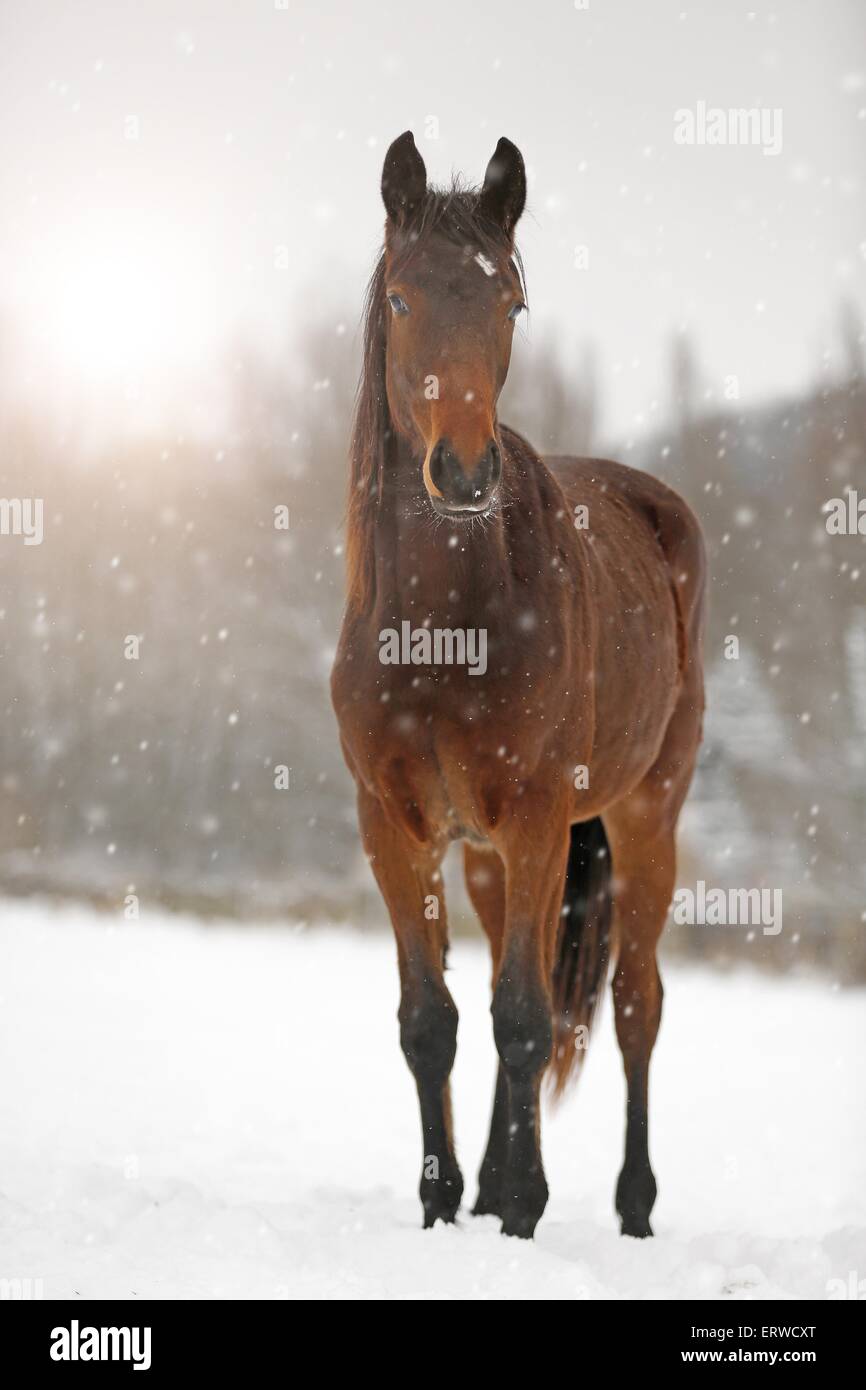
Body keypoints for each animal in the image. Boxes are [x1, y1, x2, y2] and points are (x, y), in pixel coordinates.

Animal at [330, 132, 706, 1239]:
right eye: (402, 295)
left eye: (510, 301)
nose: (462, 472)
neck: (439, 631)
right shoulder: (395, 827)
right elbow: (432, 1022)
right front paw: (446, 1201)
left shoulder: (540, 815)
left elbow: (527, 1021)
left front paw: (523, 1210)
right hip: (497, 857)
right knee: (519, 969)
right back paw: (497, 1183)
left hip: (643, 815)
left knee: (632, 1006)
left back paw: (632, 1206)